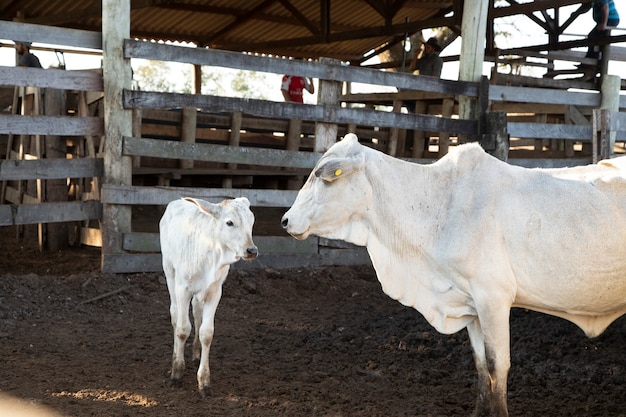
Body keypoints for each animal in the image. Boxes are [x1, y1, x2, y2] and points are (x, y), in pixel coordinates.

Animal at [162, 197, 260, 394]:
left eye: (251, 221)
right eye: (229, 222)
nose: (251, 250)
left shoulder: (215, 291)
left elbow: (206, 333)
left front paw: (204, 381)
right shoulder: (182, 288)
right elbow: (182, 329)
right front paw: (177, 372)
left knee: (197, 313)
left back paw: (195, 352)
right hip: (169, 270)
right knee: (175, 315)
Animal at [280, 134, 624, 416]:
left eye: (324, 179)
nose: (285, 220)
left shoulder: (493, 298)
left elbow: (498, 364)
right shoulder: (470, 303)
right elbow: (482, 365)